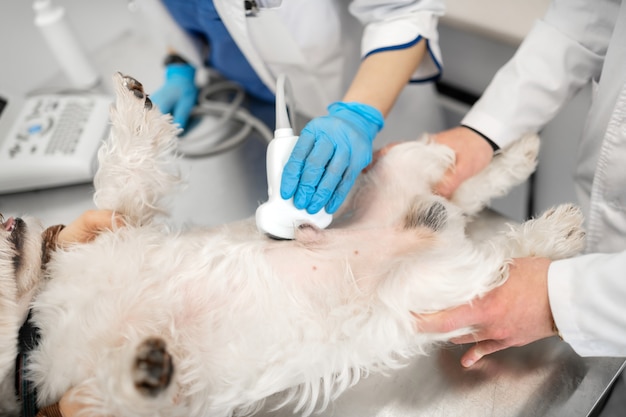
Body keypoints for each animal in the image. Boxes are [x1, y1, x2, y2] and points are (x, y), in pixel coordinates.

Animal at [1, 73, 584, 414]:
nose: (8, 220)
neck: (35, 323)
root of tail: (430, 230)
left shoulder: (121, 223)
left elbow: (121, 174)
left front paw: (133, 104)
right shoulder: (96, 400)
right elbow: (126, 393)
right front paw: (142, 368)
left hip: (398, 173)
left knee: (464, 191)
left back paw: (528, 173)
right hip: (436, 290)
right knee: (496, 248)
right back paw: (552, 226)